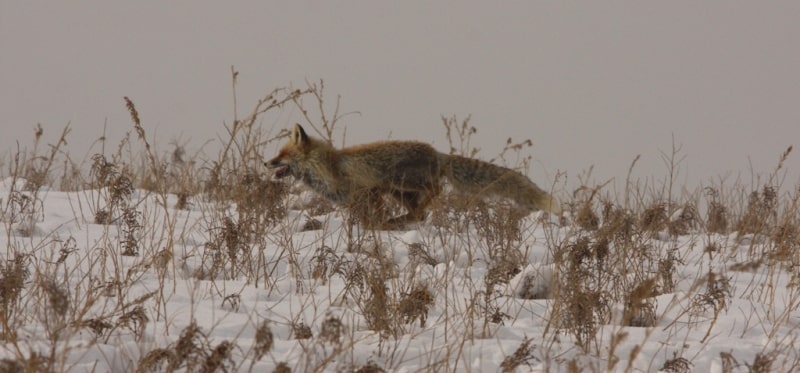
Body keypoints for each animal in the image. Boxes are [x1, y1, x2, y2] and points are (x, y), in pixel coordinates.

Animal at [266, 123, 560, 228]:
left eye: (281, 155)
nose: (266, 162)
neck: (329, 168)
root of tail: (437, 153)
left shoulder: (370, 190)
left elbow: (372, 219)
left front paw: (378, 228)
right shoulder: (358, 199)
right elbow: (365, 219)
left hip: (400, 183)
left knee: (435, 192)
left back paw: (401, 219)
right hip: (399, 191)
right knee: (419, 211)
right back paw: (404, 219)